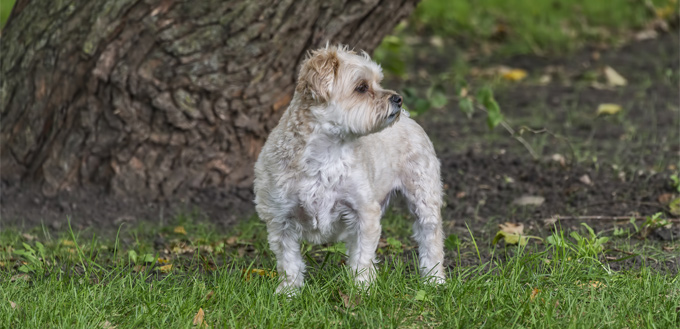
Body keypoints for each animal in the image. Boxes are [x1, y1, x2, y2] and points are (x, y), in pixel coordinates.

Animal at [252, 44, 444, 292]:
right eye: (361, 87)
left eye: (378, 82)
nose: (398, 98)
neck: (327, 155)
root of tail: (409, 118)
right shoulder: (279, 218)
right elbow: (289, 261)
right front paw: (289, 292)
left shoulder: (365, 213)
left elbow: (362, 256)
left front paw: (362, 288)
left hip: (423, 197)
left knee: (430, 238)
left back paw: (435, 279)